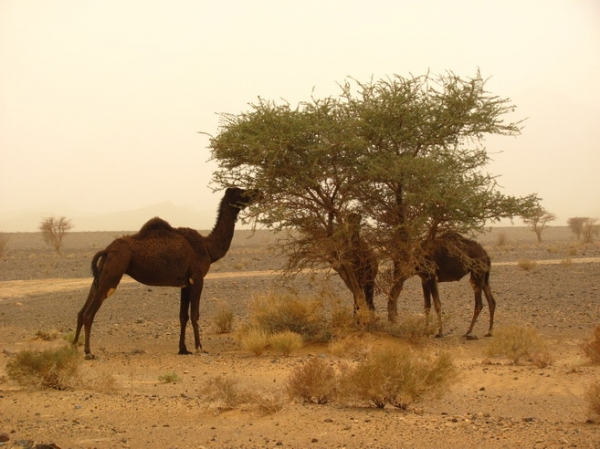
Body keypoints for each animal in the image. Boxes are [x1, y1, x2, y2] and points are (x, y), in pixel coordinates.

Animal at [72, 186, 258, 356]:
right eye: (241, 191)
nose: (258, 192)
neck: (208, 248)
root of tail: (108, 249)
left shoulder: (185, 283)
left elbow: (183, 316)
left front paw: (183, 349)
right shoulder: (197, 278)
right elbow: (195, 314)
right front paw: (199, 348)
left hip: (102, 272)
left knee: (81, 311)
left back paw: (73, 346)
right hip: (114, 270)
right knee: (89, 314)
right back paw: (88, 352)